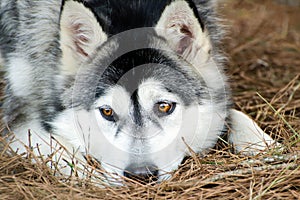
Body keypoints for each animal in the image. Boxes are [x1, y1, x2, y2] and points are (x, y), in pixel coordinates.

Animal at [0, 0, 276, 184]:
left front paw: (263, 147)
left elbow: (232, 114)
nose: (141, 175)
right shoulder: (17, 121)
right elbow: (63, 153)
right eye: (107, 112)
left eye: (164, 106)